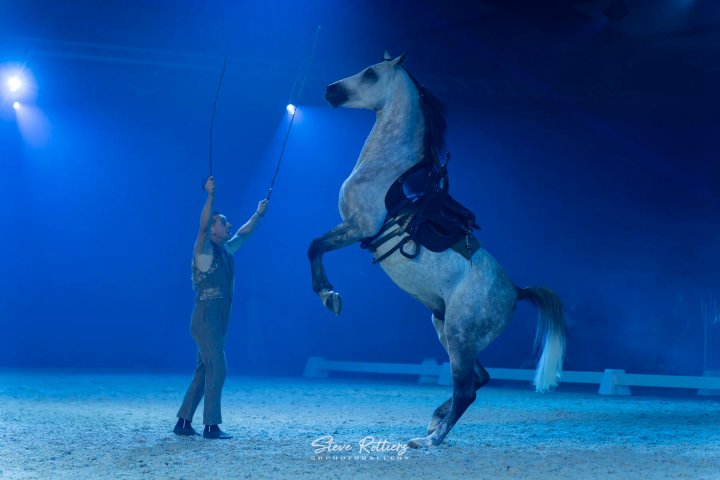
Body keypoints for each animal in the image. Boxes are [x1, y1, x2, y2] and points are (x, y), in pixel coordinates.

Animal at [307, 52, 566, 448]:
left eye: (370, 73)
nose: (330, 89)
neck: (388, 170)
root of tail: (516, 291)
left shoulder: (357, 227)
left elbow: (314, 247)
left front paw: (329, 297)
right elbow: (315, 247)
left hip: (459, 335)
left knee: (467, 390)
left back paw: (429, 439)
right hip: (447, 329)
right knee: (479, 379)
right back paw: (433, 423)